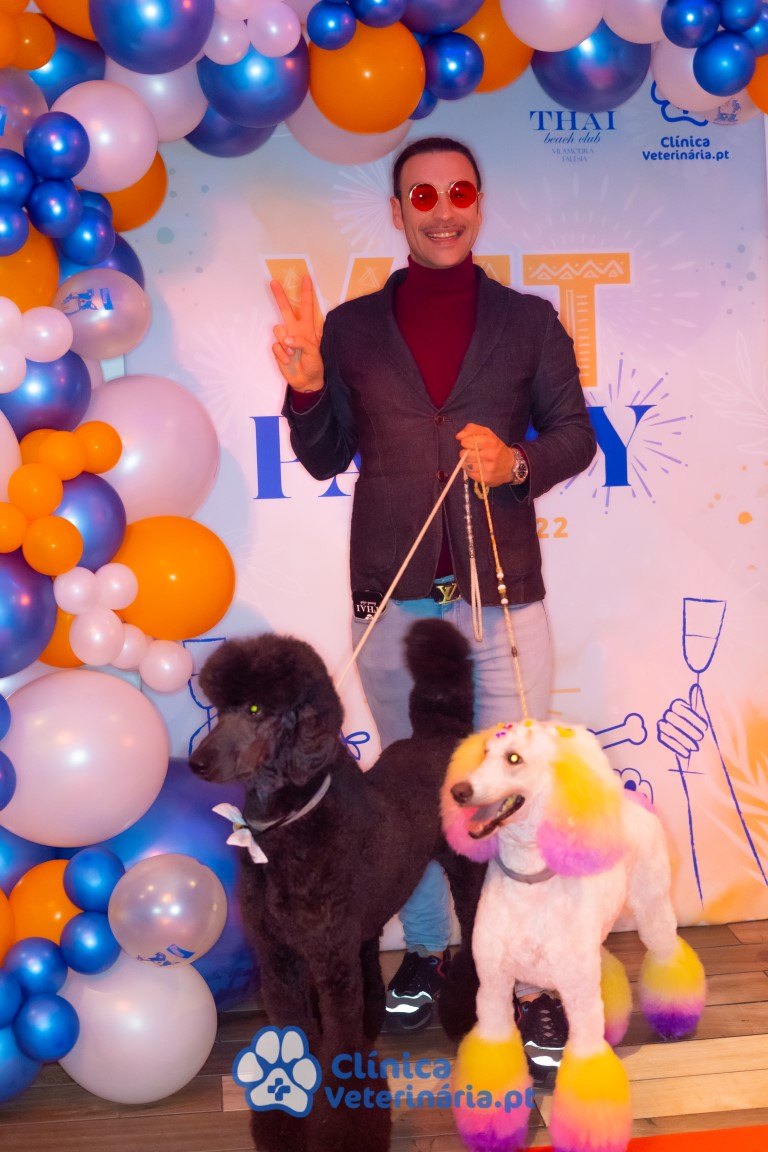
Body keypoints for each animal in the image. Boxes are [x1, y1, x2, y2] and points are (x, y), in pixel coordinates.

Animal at [189, 619, 485, 1152]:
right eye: (220, 708)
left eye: (257, 709)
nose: (196, 762)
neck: (288, 826)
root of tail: (442, 733)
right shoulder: (280, 961)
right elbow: (292, 1036)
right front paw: (285, 1118)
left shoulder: (330, 965)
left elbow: (343, 1052)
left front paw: (346, 1131)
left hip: (465, 870)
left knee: (473, 937)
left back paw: (466, 1011)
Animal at [441, 720, 707, 1152]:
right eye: (482, 753)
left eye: (514, 758)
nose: (459, 791)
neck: (530, 881)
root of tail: (634, 800)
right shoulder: (495, 990)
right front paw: (493, 1133)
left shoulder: (578, 1001)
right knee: (607, 967)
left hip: (652, 911)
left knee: (668, 955)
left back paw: (675, 1020)